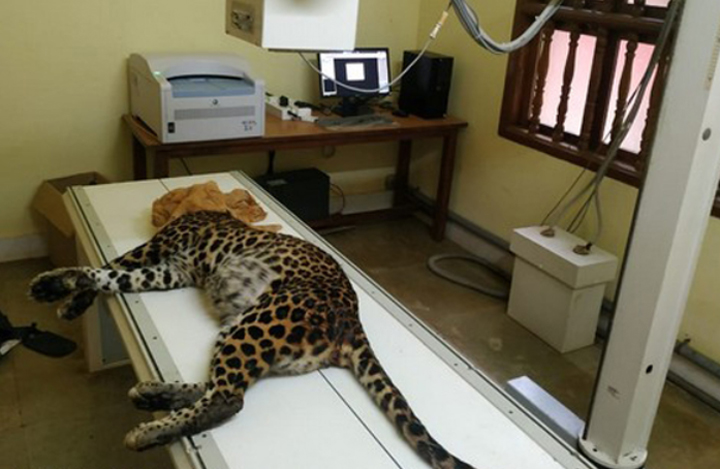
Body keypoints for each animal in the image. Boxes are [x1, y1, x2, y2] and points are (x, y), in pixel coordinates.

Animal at [28, 210, 474, 469]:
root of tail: (353, 319)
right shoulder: (170, 270)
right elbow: (110, 276)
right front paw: (68, 296)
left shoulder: (156, 250)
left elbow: (102, 268)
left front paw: (55, 287)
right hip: (242, 328)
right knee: (216, 387)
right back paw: (154, 394)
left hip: (257, 324)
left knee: (228, 398)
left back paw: (148, 432)